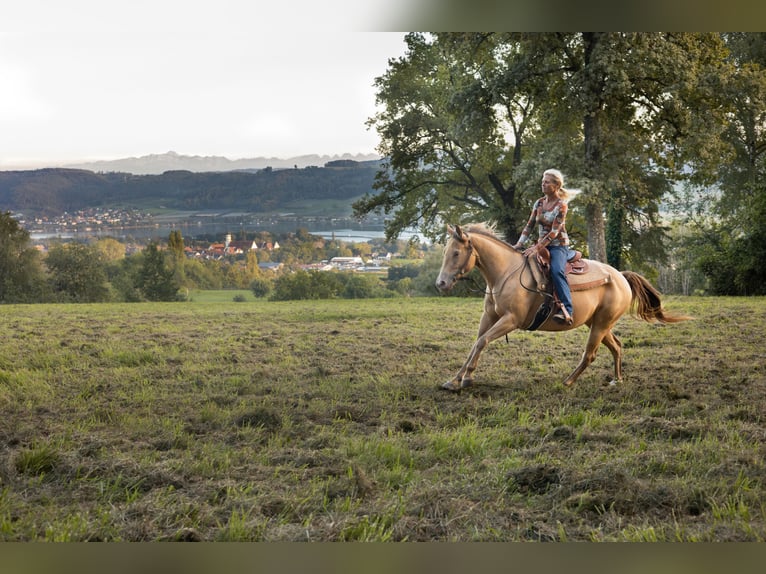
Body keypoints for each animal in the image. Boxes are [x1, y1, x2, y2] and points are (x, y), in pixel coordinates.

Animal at [435, 223, 690, 391]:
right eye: (445, 252)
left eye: (456, 253)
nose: (441, 283)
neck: (505, 273)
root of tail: (621, 276)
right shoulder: (489, 317)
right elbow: (476, 343)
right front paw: (456, 379)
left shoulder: (511, 320)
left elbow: (482, 342)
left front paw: (466, 379)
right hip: (599, 323)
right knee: (617, 347)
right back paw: (616, 380)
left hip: (600, 325)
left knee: (590, 354)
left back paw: (568, 381)